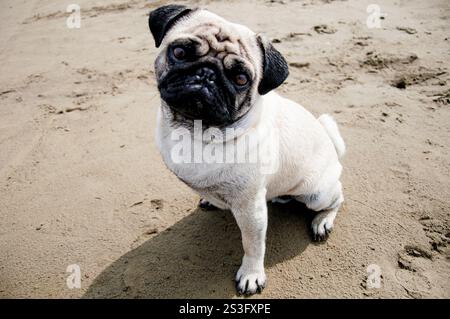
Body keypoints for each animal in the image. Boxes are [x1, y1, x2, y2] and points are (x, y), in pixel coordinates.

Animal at [148, 4, 344, 298]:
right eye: (180, 52)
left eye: (241, 79)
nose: (206, 74)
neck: (196, 132)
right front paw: (210, 199)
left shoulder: (250, 208)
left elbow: (253, 244)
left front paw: (252, 274)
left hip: (316, 193)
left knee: (337, 197)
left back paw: (323, 221)